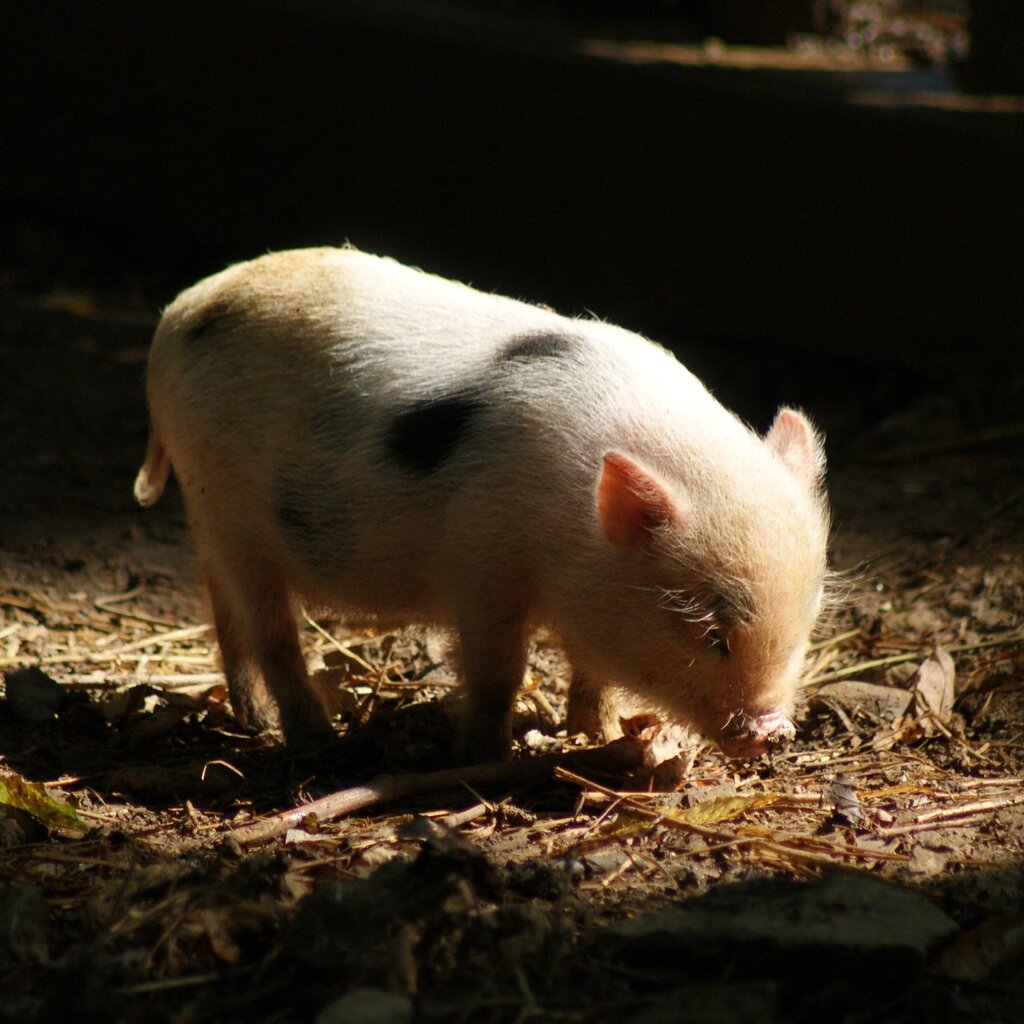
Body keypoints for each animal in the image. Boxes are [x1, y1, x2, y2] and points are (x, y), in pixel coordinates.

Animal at [134, 247, 830, 762]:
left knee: (223, 611)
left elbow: (592, 665)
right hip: (225, 506)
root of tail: (178, 313)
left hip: (209, 515)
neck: (572, 523)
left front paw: (599, 734)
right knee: (269, 630)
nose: (774, 732)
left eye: (805, 624)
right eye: (712, 634)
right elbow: (500, 668)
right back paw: (320, 745)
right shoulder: (482, 559)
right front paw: (485, 756)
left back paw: (254, 721)